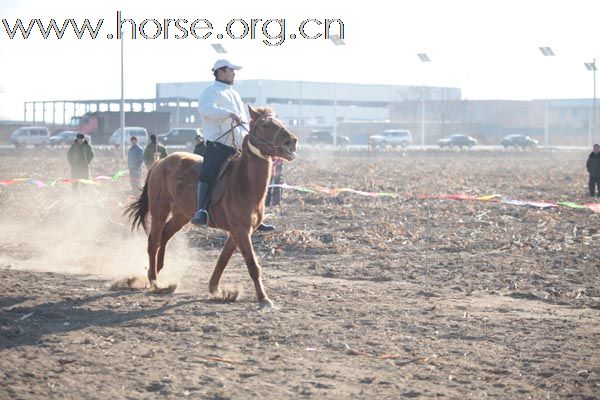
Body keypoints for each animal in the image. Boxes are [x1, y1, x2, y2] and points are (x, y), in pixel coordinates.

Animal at [125, 105, 298, 306]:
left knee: (165, 235)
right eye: (264, 125)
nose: (292, 141)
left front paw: (215, 289)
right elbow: (252, 265)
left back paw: (157, 270)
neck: (244, 182)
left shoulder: (236, 233)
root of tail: (160, 162)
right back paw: (154, 281)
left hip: (181, 216)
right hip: (159, 212)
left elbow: (222, 260)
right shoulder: (241, 231)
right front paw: (264, 299)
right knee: (153, 241)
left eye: (281, 122)